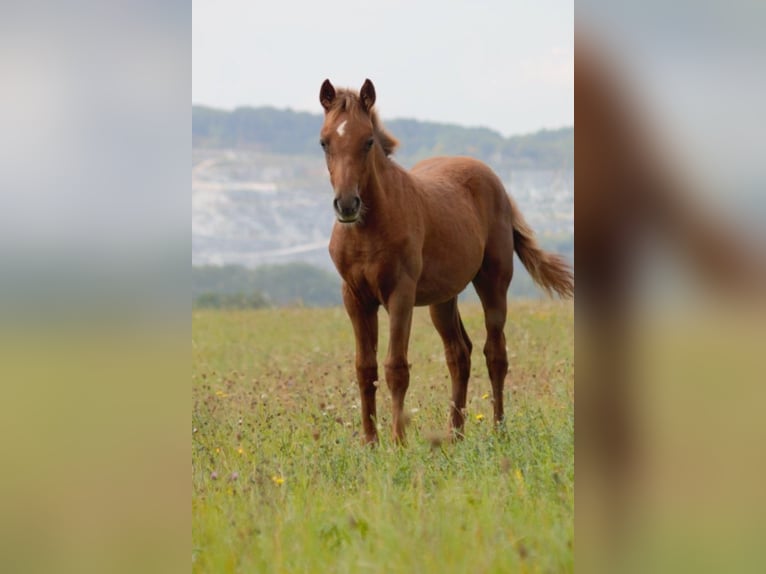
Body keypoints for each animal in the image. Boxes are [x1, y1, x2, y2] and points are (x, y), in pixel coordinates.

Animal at [319, 78, 574, 444]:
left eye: (368, 141)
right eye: (324, 142)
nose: (347, 204)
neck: (369, 229)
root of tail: (498, 185)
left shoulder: (400, 295)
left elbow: (396, 367)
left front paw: (398, 442)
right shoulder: (354, 297)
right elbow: (365, 368)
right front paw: (369, 444)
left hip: (493, 283)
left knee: (495, 353)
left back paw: (498, 430)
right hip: (442, 299)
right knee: (459, 353)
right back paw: (455, 436)